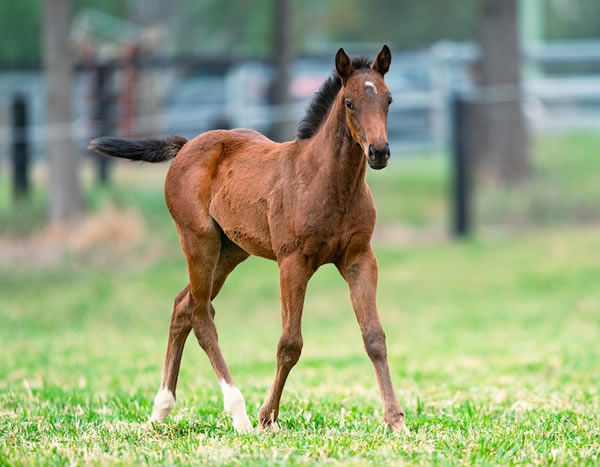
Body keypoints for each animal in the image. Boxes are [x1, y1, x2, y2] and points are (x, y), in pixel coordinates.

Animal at [89, 45, 406, 434]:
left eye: (389, 99)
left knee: (183, 305)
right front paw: (266, 417)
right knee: (200, 314)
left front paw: (396, 421)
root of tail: (185, 146)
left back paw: (161, 409)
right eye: (349, 102)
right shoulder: (292, 262)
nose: (379, 151)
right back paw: (237, 413)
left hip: (231, 251)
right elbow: (290, 343)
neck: (329, 183)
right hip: (199, 241)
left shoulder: (359, 258)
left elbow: (374, 337)